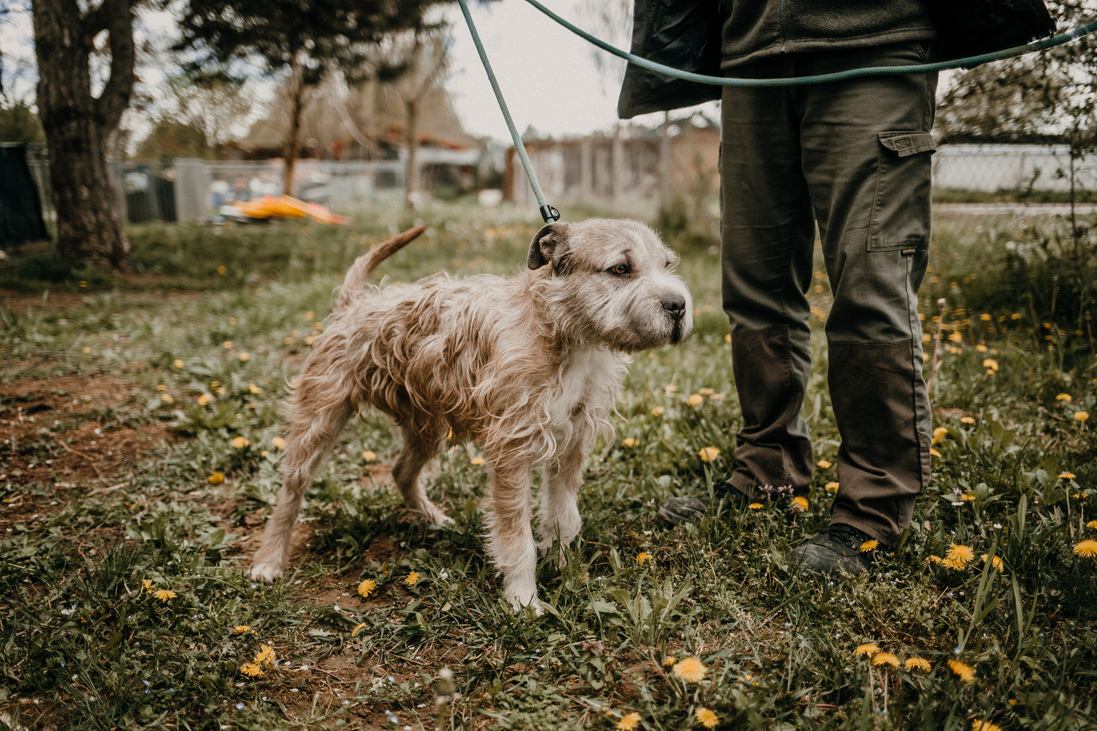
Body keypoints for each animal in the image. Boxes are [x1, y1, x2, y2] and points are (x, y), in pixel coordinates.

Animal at [252, 217, 688, 610]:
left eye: (667, 265)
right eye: (620, 269)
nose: (679, 305)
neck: (566, 336)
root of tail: (354, 302)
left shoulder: (571, 447)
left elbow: (564, 517)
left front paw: (564, 566)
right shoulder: (511, 455)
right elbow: (517, 538)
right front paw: (522, 598)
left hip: (426, 428)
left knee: (401, 471)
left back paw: (431, 518)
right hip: (319, 422)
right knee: (291, 491)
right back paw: (269, 559)